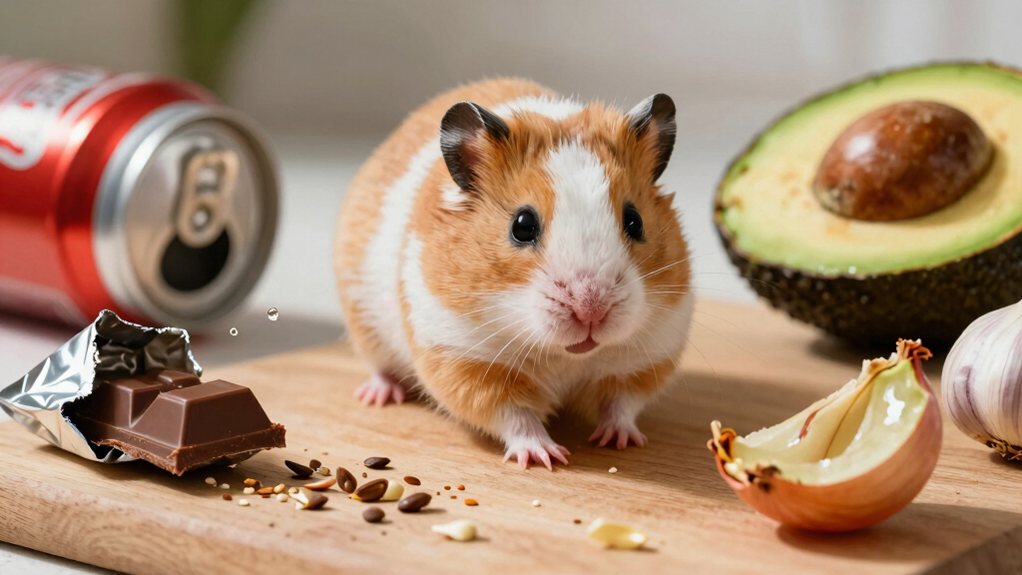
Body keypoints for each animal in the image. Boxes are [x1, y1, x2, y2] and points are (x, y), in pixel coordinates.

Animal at [335, 79, 692, 469]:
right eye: (522, 225)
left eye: (634, 221)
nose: (591, 312)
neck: (565, 356)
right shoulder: (465, 361)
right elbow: (515, 416)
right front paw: (545, 457)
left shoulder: (645, 356)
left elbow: (621, 404)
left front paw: (620, 441)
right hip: (364, 325)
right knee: (379, 367)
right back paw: (378, 395)